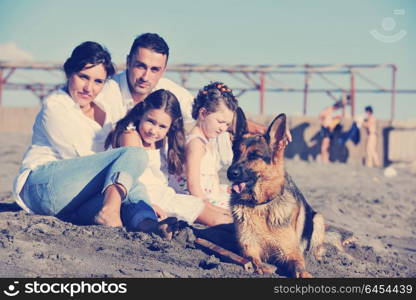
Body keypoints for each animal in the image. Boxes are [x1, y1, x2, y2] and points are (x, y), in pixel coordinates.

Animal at [228, 109, 324, 278]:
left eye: (254, 155)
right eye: (236, 152)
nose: (230, 173)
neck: (260, 205)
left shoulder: (291, 253)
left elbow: (299, 267)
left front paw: (304, 273)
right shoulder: (249, 247)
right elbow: (253, 260)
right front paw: (262, 267)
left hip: (319, 219)